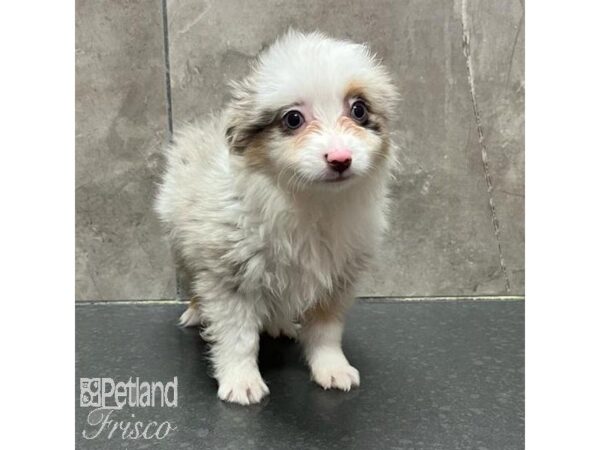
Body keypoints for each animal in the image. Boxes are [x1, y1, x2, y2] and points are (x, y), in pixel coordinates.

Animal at [156, 31, 398, 404]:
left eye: (358, 110)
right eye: (293, 119)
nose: (340, 159)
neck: (310, 203)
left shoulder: (338, 280)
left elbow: (326, 332)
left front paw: (332, 368)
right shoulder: (229, 278)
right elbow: (239, 337)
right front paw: (241, 381)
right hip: (181, 244)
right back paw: (197, 311)